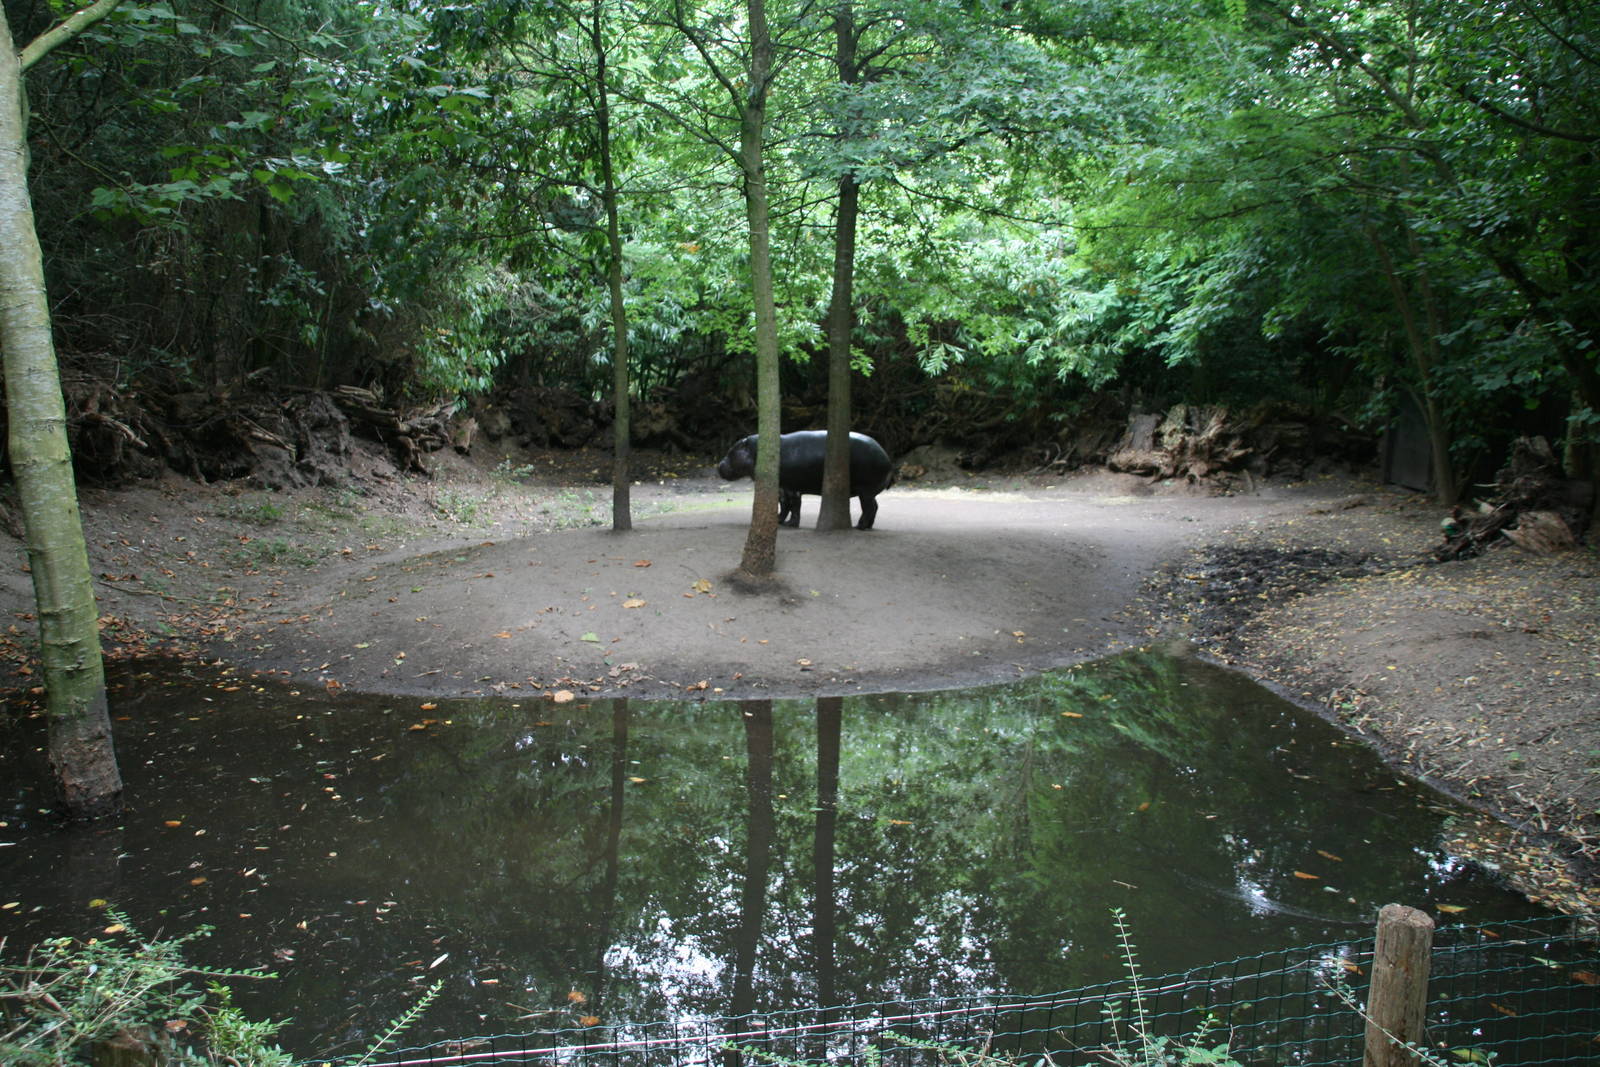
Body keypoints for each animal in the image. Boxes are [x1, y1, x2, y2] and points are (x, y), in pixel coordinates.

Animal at [716, 430, 893, 530]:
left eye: (731, 451)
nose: (718, 465)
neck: (756, 451)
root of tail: (887, 458)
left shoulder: (791, 488)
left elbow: (793, 505)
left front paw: (789, 524)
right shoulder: (783, 488)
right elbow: (784, 505)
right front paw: (780, 521)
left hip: (865, 491)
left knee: (869, 508)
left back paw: (860, 527)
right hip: (868, 492)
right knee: (875, 507)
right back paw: (866, 526)